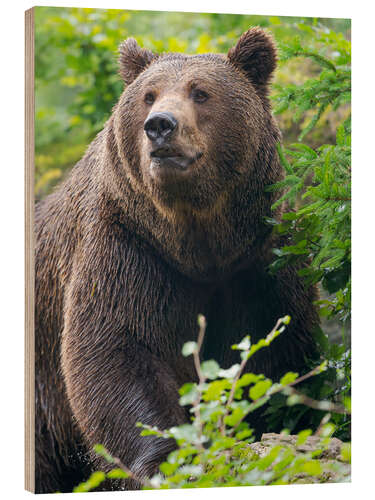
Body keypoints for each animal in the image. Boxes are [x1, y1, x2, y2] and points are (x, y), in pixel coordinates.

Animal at [35, 27, 318, 492]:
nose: (160, 126)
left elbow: (276, 351)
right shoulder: (128, 248)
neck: (197, 245)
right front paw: (165, 457)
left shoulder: (260, 263)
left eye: (200, 92)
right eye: (148, 95)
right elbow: (118, 351)